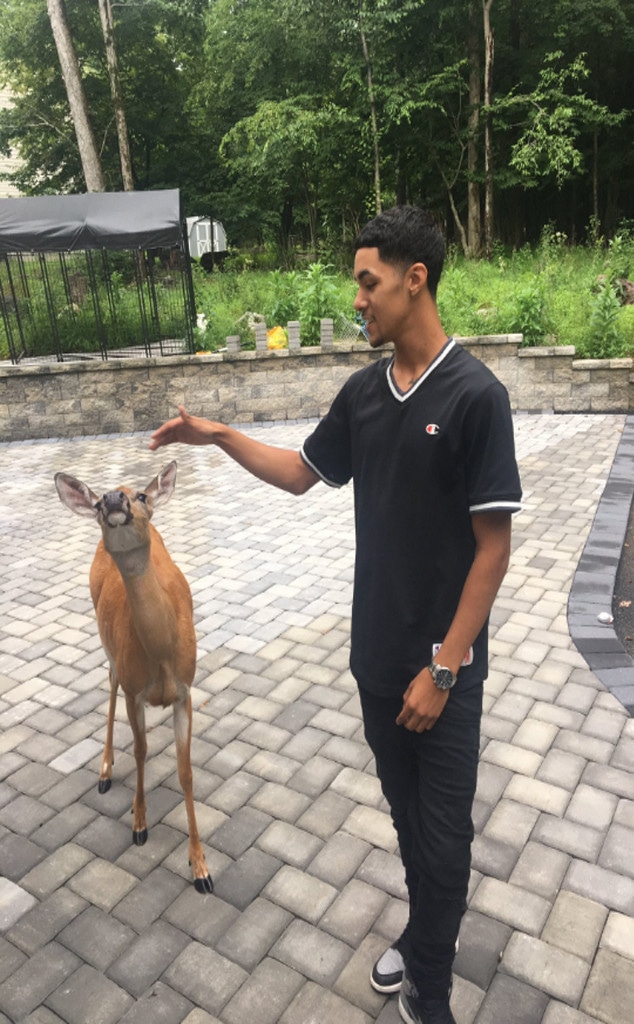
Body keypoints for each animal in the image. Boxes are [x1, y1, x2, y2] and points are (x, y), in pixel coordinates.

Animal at [55, 460, 213, 892]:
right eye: (96, 505)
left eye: (142, 496)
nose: (112, 498)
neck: (160, 656)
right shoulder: (134, 690)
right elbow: (141, 751)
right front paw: (139, 823)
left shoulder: (185, 691)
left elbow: (186, 772)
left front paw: (201, 867)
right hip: (108, 645)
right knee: (109, 683)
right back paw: (105, 769)